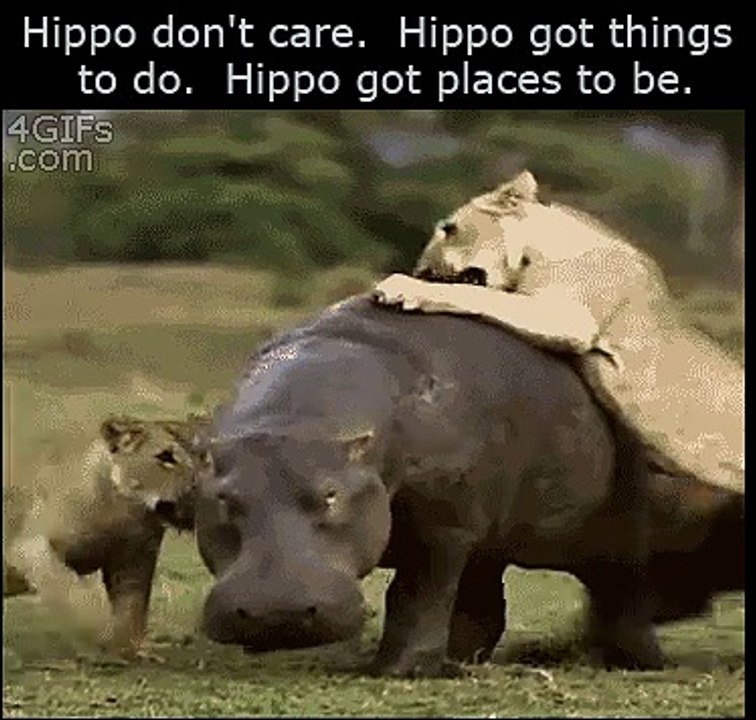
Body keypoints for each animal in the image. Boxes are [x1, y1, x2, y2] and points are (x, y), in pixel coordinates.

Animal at [4, 413, 211, 659]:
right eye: (166, 457)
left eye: (202, 457)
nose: (203, 488)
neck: (121, 514)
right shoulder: (30, 546)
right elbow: (77, 594)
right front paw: (100, 635)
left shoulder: (134, 562)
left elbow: (131, 608)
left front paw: (127, 649)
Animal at [196, 296, 743, 678]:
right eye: (223, 500)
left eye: (330, 494)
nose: (277, 611)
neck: (300, 422)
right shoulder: (469, 526)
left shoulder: (445, 525)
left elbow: (418, 595)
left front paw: (396, 672)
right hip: (496, 536)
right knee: (488, 602)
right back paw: (465, 661)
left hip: (616, 535)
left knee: (621, 595)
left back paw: (635, 663)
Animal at [373, 171, 744, 495]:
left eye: (448, 228)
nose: (420, 270)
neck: (539, 245)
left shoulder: (566, 315)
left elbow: (474, 294)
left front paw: (402, 287)